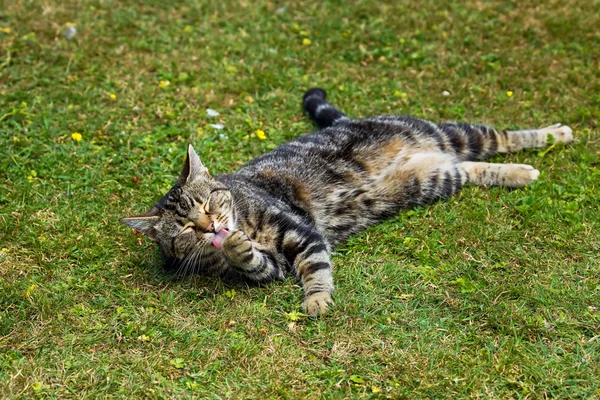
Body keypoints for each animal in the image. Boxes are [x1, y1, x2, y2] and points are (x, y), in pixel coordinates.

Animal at [120, 87, 572, 316]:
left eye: (208, 206)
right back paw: (519, 173)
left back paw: (554, 135)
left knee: (501, 136)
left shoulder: (299, 231)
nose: (212, 227)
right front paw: (235, 246)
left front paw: (317, 299)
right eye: (185, 228)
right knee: (473, 168)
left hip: (455, 134)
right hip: (436, 177)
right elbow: (254, 261)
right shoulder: (272, 266)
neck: (245, 219)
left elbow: (317, 268)